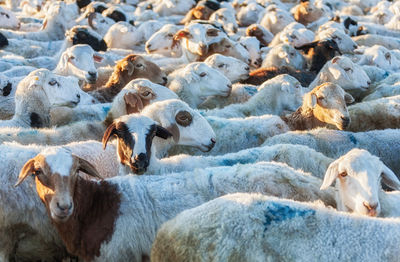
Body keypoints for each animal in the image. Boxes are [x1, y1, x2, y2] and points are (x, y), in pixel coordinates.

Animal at [14, 149, 334, 262]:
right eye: (38, 173)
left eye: (76, 172)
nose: (63, 206)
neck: (98, 208)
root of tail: (306, 179)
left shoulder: (116, 256)